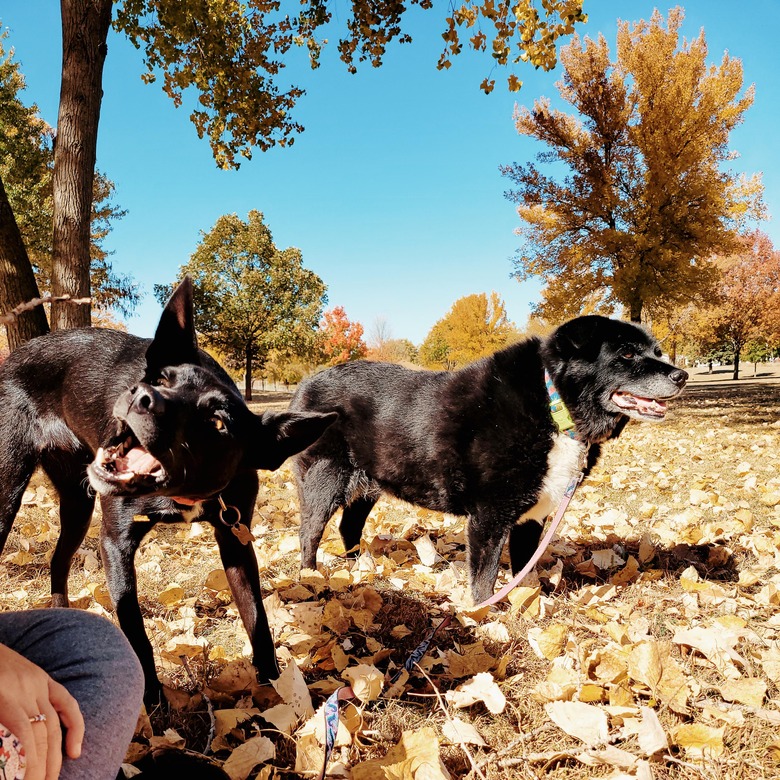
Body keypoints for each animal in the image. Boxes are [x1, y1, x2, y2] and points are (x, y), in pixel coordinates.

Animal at [0, 278, 334, 700]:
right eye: (160, 380)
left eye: (217, 422)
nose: (142, 397)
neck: (183, 492)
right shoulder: (115, 543)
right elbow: (135, 631)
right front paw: (155, 705)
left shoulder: (235, 541)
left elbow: (257, 618)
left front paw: (275, 690)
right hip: (9, 492)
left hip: (77, 504)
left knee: (58, 562)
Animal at [292, 316, 688, 604]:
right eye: (627, 355)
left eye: (658, 351)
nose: (681, 374)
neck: (554, 405)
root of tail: (304, 383)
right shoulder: (489, 514)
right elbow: (484, 575)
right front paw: (485, 613)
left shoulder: (533, 514)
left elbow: (524, 567)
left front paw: (529, 603)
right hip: (324, 480)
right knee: (309, 532)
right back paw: (312, 576)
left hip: (368, 485)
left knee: (349, 527)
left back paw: (359, 568)